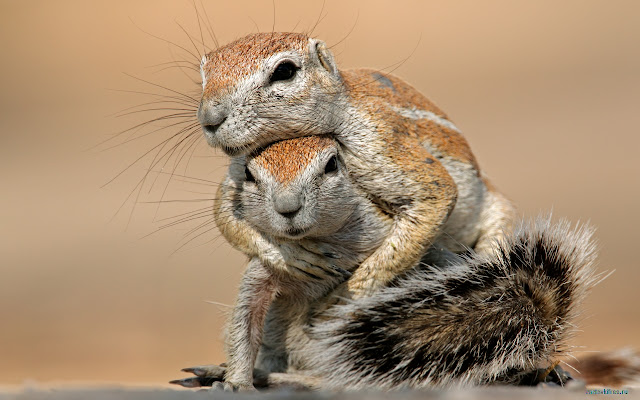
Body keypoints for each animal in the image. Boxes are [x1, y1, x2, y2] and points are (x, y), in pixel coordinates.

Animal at [171, 135, 600, 391]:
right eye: (248, 173)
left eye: (331, 165)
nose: (287, 207)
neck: (318, 240)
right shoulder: (263, 271)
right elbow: (244, 324)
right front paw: (236, 380)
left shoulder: (391, 237)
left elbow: (417, 260)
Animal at [197, 32, 516, 301]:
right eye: (203, 74)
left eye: (284, 71)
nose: (209, 117)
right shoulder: (239, 165)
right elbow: (224, 213)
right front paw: (292, 255)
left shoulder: (378, 136)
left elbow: (435, 193)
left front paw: (342, 299)